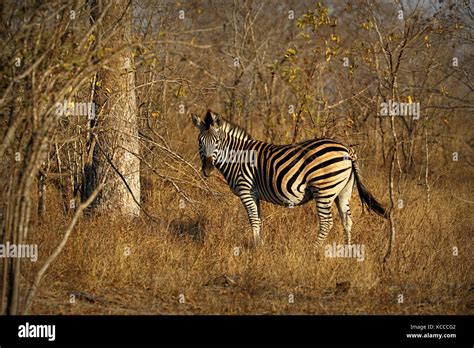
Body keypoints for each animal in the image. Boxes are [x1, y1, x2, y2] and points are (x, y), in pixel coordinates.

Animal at [191, 110, 386, 246]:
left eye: (217, 142)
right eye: (200, 141)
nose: (207, 170)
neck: (237, 157)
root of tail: (347, 149)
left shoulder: (246, 190)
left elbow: (253, 219)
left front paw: (255, 247)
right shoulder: (255, 194)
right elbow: (259, 219)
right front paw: (261, 245)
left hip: (324, 189)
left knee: (327, 223)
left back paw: (313, 250)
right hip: (343, 191)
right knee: (347, 221)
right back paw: (348, 251)